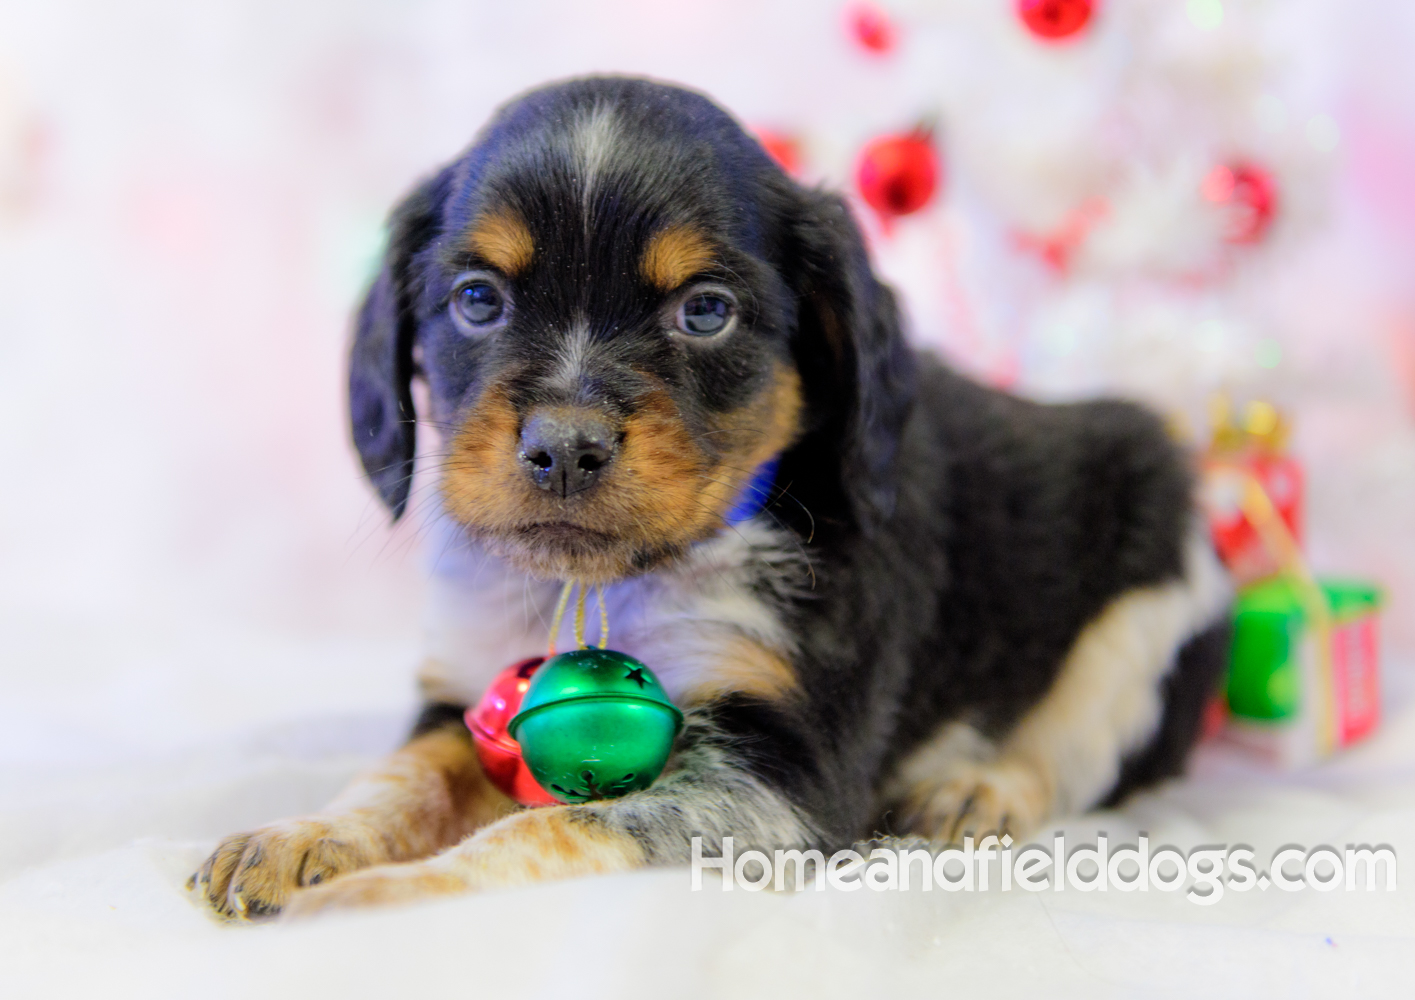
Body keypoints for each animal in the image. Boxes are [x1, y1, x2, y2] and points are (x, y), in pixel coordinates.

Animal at [193, 78, 1233, 922]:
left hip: (1153, 592)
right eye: (477, 299)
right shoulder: (464, 686)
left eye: (704, 311)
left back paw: (976, 790)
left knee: (1078, 748)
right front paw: (303, 838)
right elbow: (405, 776)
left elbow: (554, 829)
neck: (607, 587)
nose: (563, 449)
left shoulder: (777, 776)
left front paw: (380, 900)